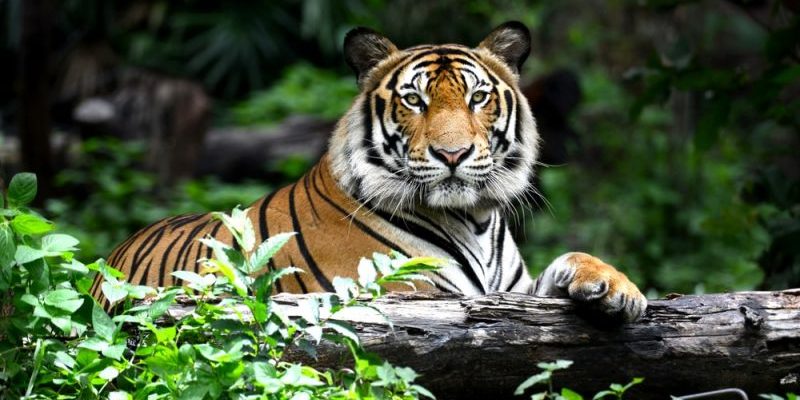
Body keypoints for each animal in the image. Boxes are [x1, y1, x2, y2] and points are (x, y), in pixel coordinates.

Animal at [94, 21, 647, 322]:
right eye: (414, 100)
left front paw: (617, 289)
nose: (452, 154)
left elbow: (570, 260)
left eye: (477, 97)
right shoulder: (409, 296)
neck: (474, 219)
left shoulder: (512, 294)